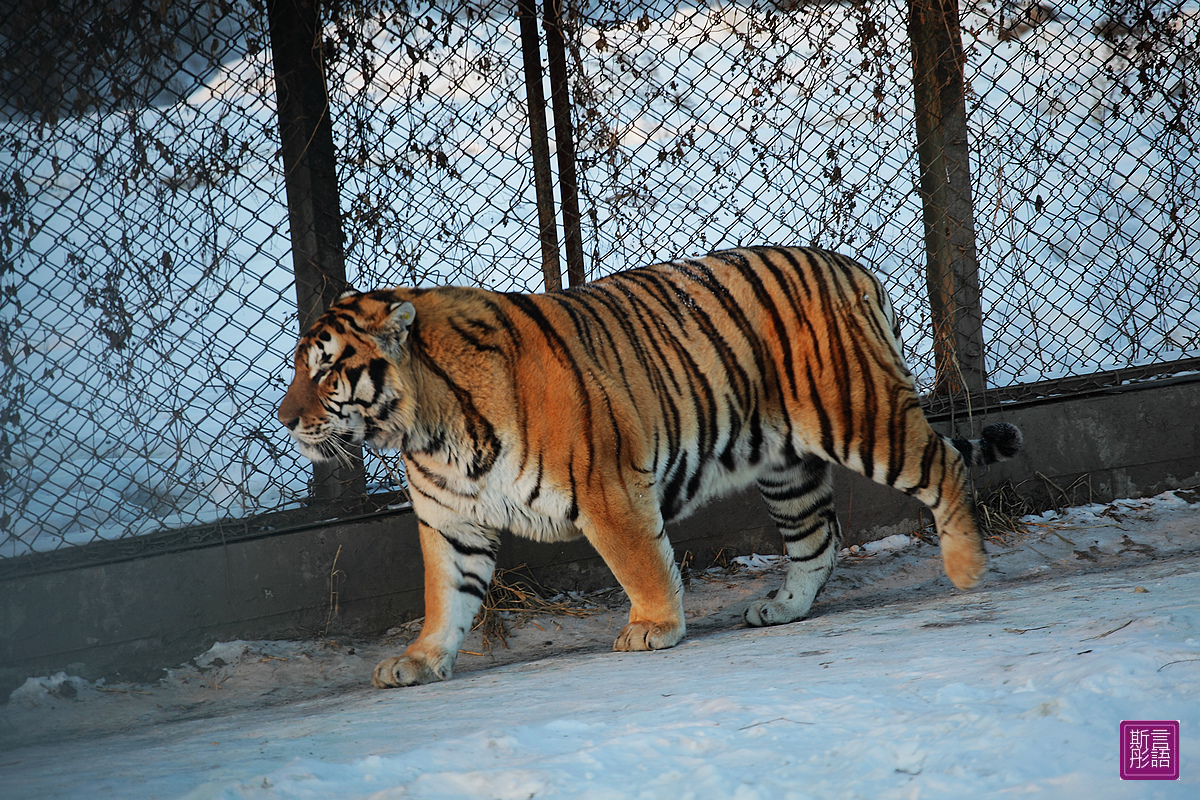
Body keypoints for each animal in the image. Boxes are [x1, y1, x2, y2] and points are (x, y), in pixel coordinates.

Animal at [276, 245, 1017, 690]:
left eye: (326, 369)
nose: (284, 418)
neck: (428, 429)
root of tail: (852, 265)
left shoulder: (606, 487)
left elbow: (640, 561)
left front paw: (654, 628)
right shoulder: (450, 522)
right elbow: (444, 599)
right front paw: (419, 661)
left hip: (862, 416)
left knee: (947, 466)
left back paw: (968, 570)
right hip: (787, 465)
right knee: (817, 537)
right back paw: (782, 608)